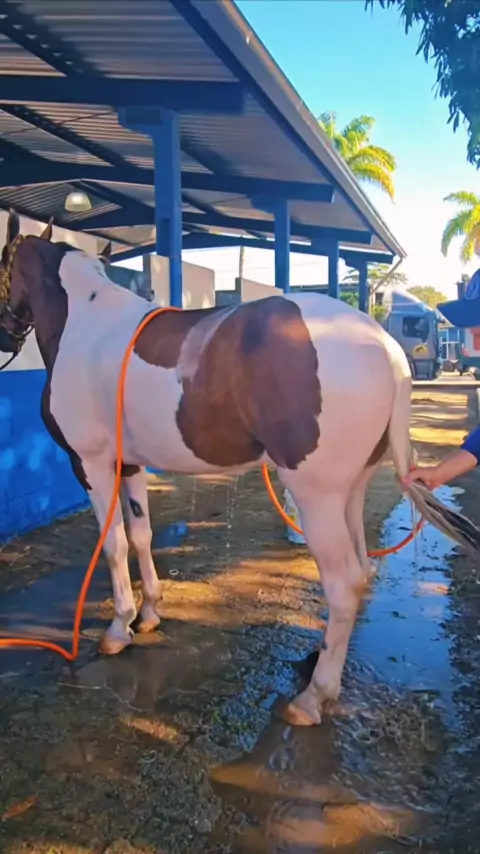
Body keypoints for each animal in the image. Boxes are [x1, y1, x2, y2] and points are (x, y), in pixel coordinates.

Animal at [0, 209, 478, 727]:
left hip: (317, 495)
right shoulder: (130, 465)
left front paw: (118, 628)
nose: (5, 333)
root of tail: (387, 347)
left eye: (2, 259)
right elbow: (141, 536)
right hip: (351, 490)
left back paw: (312, 698)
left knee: (344, 582)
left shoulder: (90, 463)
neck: (85, 324)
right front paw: (148, 614)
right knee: (361, 567)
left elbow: (114, 545)